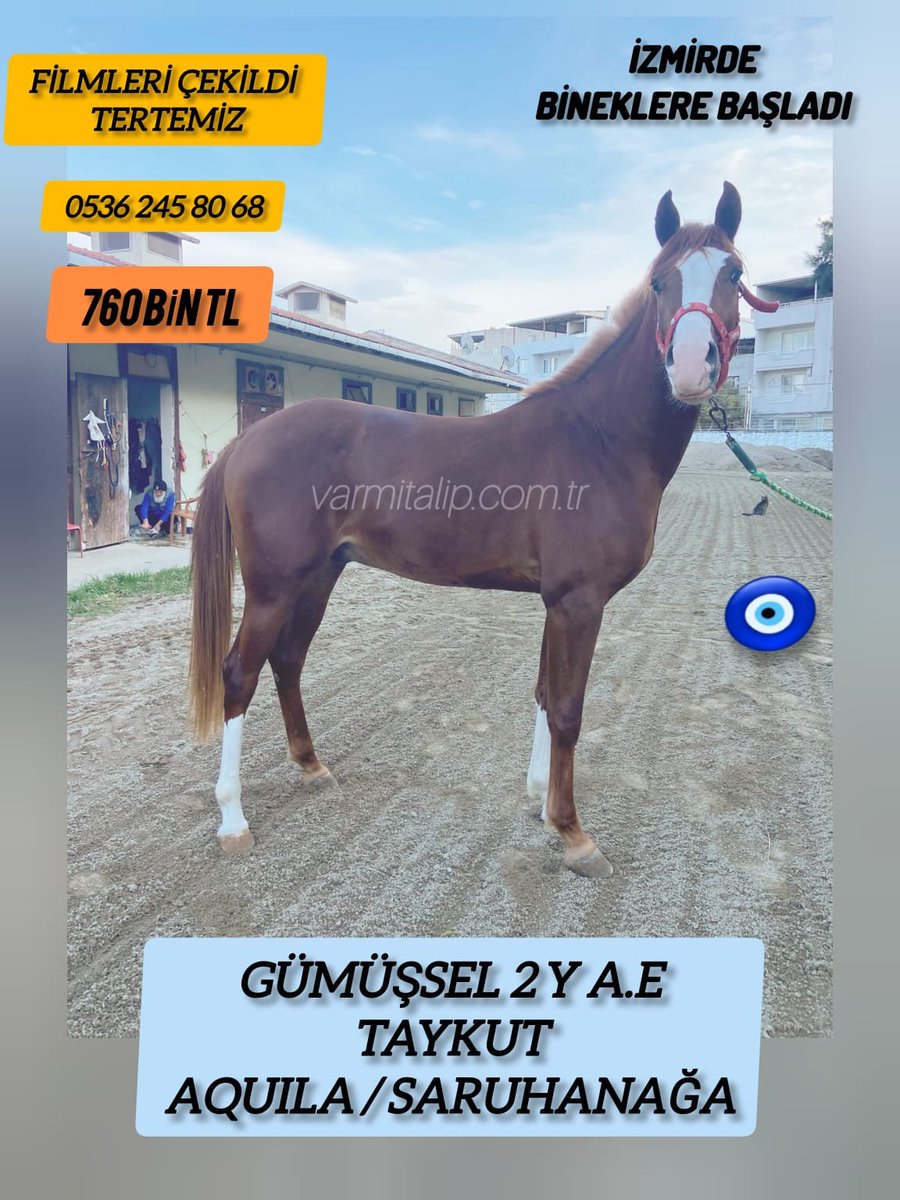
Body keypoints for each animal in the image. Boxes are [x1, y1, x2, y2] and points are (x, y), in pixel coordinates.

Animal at [189, 181, 760, 879]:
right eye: (659, 282)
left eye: (734, 273)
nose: (690, 368)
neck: (599, 439)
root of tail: (249, 439)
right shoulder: (579, 602)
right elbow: (567, 710)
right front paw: (574, 836)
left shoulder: (558, 603)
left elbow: (544, 694)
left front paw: (541, 804)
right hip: (274, 586)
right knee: (238, 674)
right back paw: (233, 821)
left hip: (320, 577)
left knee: (288, 660)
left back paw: (312, 767)